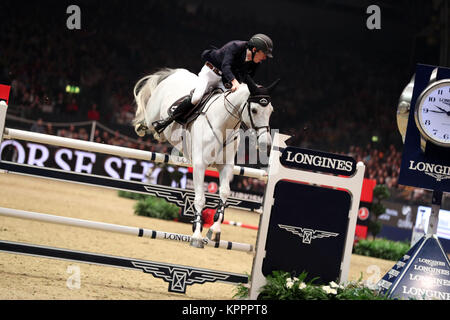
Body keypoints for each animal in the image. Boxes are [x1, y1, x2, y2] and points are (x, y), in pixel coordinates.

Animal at [132, 68, 276, 248]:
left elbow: (224, 193)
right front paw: (196, 235)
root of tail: (176, 72)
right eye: (255, 110)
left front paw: (214, 229)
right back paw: (146, 127)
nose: (266, 144)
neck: (223, 124)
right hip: (153, 114)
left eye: (271, 111)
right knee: (150, 123)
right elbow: (200, 199)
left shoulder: (226, 167)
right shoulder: (200, 166)